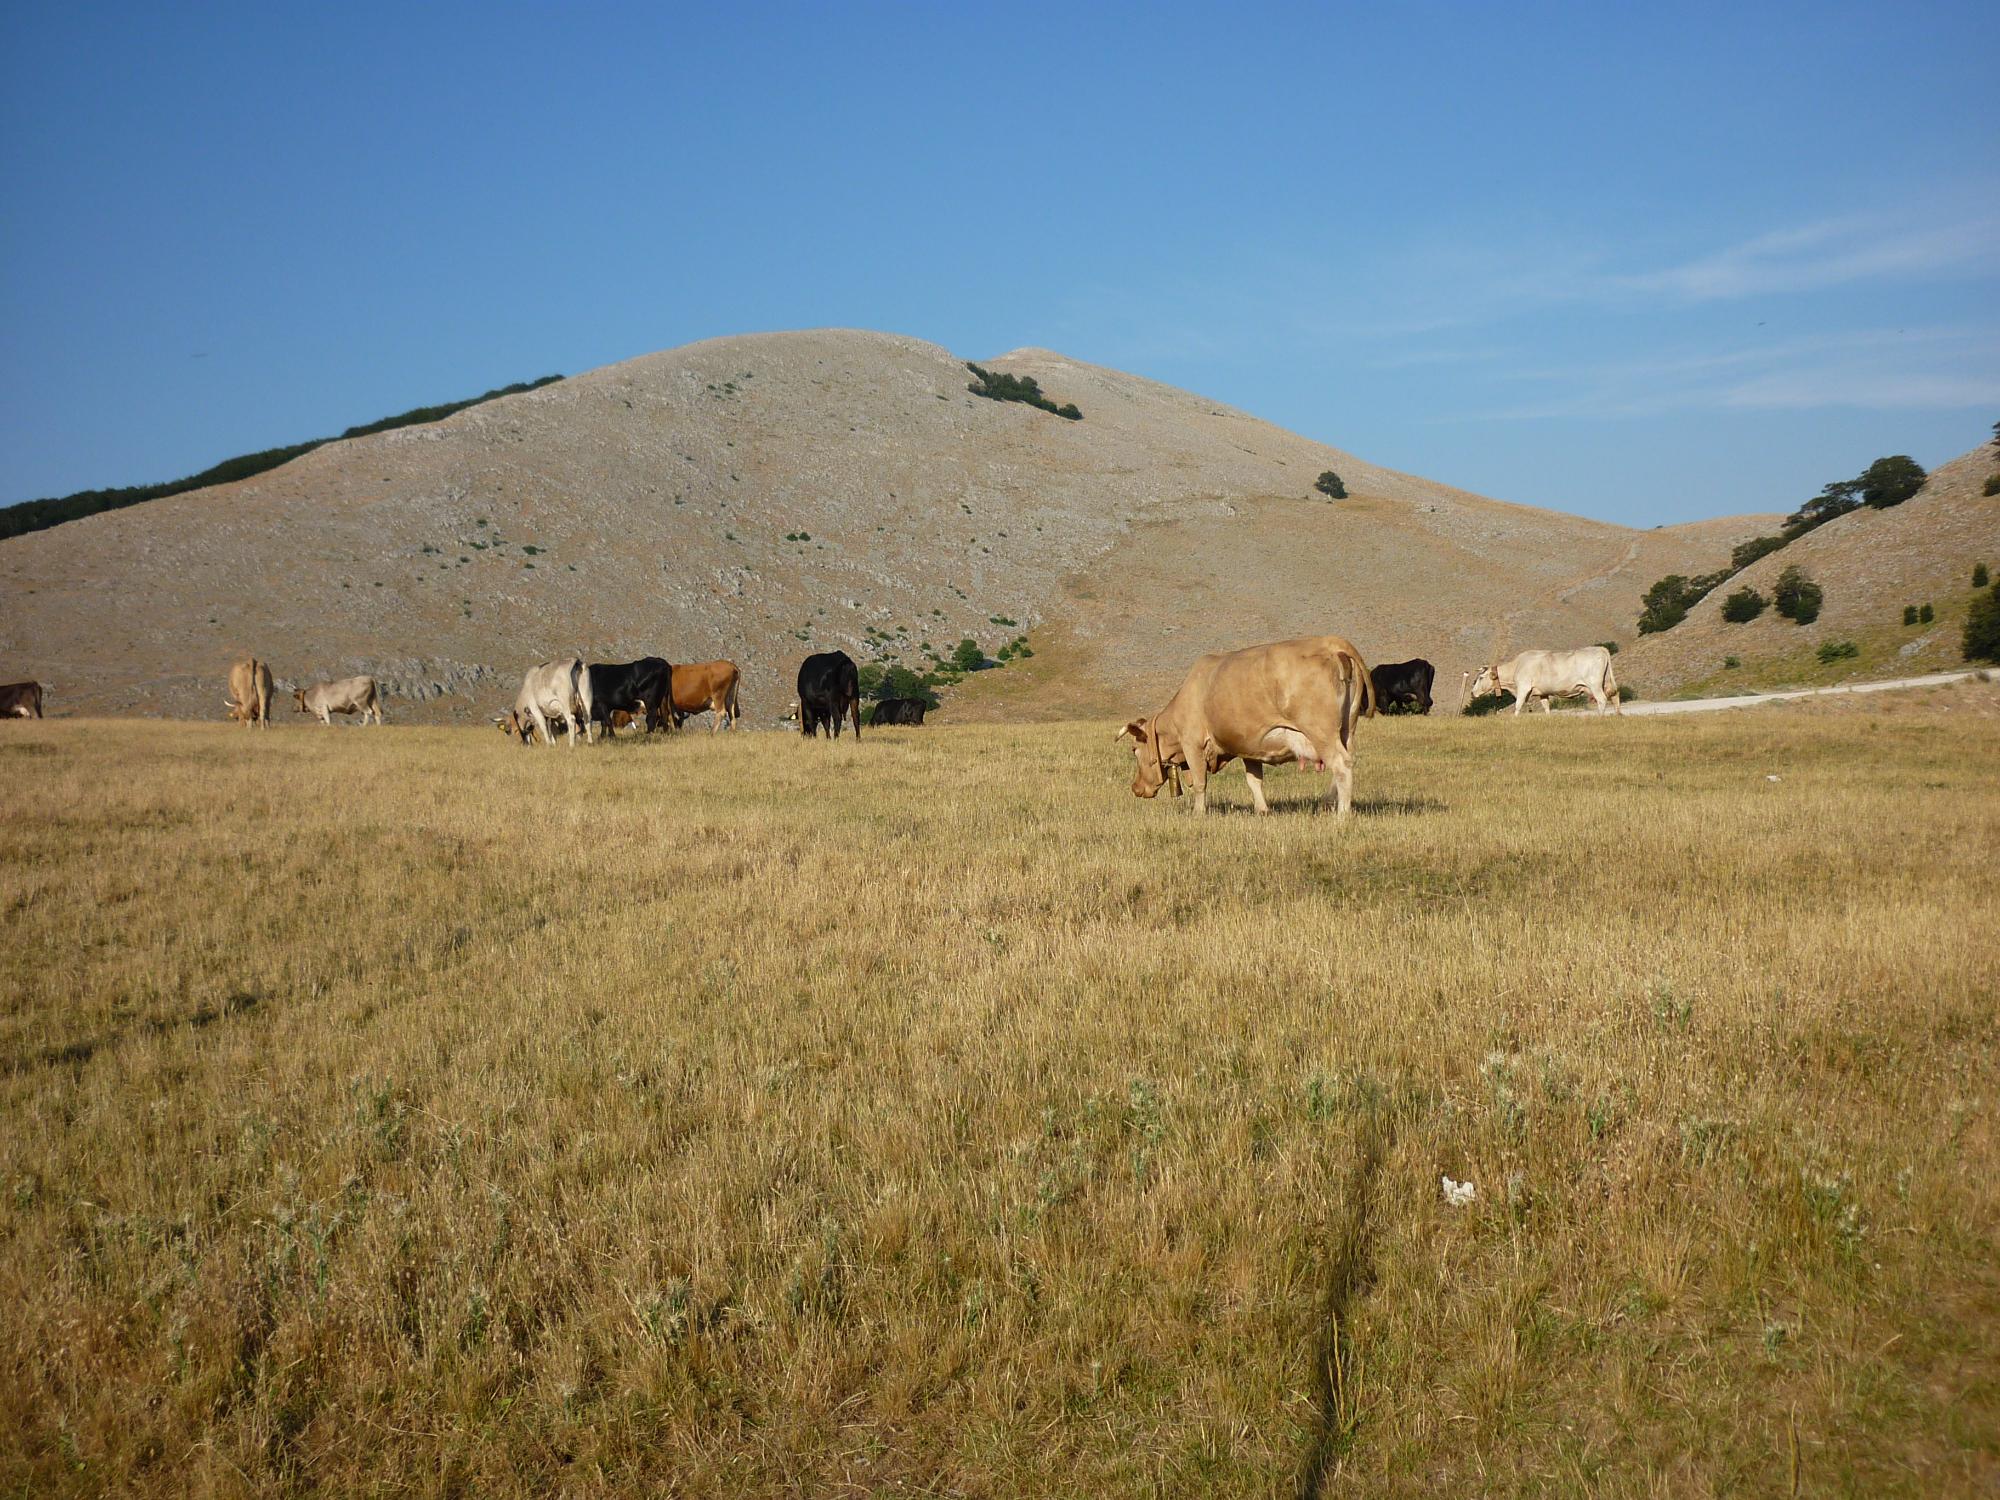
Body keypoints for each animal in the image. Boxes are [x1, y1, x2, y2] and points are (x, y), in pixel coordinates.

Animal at [1112, 636, 1376, 824]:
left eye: (1134, 750)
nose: (1135, 788)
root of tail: (1330, 642)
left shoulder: (1192, 743)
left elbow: (1199, 782)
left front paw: (1198, 813)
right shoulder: (1251, 748)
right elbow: (1254, 780)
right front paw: (1262, 810)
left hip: (1320, 730)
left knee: (1341, 765)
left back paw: (1342, 814)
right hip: (1347, 729)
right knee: (1342, 764)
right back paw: (1327, 803)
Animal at [1472, 648, 1624, 716]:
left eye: (1480, 678)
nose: (1472, 692)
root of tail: (1600, 648)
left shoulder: (1523, 687)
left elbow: (1518, 705)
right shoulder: (1542, 693)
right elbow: (1546, 707)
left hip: (1595, 685)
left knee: (1602, 699)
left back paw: (1600, 716)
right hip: (1606, 682)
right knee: (1615, 695)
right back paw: (1617, 715)